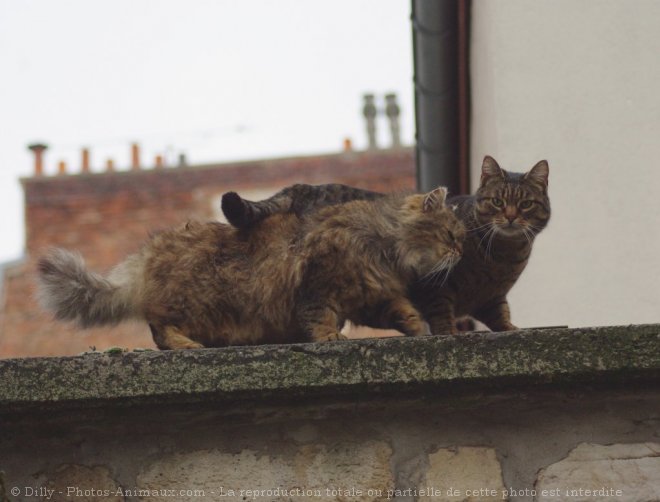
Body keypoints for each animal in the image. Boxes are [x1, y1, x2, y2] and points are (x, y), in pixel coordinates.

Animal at [37, 187, 464, 350]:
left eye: (460, 236)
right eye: (450, 234)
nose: (460, 252)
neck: (385, 247)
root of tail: (146, 255)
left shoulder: (371, 298)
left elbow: (403, 311)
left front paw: (420, 328)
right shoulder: (318, 286)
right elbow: (321, 318)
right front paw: (329, 338)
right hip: (190, 304)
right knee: (159, 330)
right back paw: (186, 345)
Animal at [222, 155, 552, 336]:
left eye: (525, 204)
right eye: (497, 202)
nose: (510, 217)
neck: (502, 257)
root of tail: (303, 186)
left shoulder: (493, 298)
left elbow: (501, 316)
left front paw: (511, 329)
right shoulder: (436, 287)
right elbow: (441, 314)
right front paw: (447, 333)